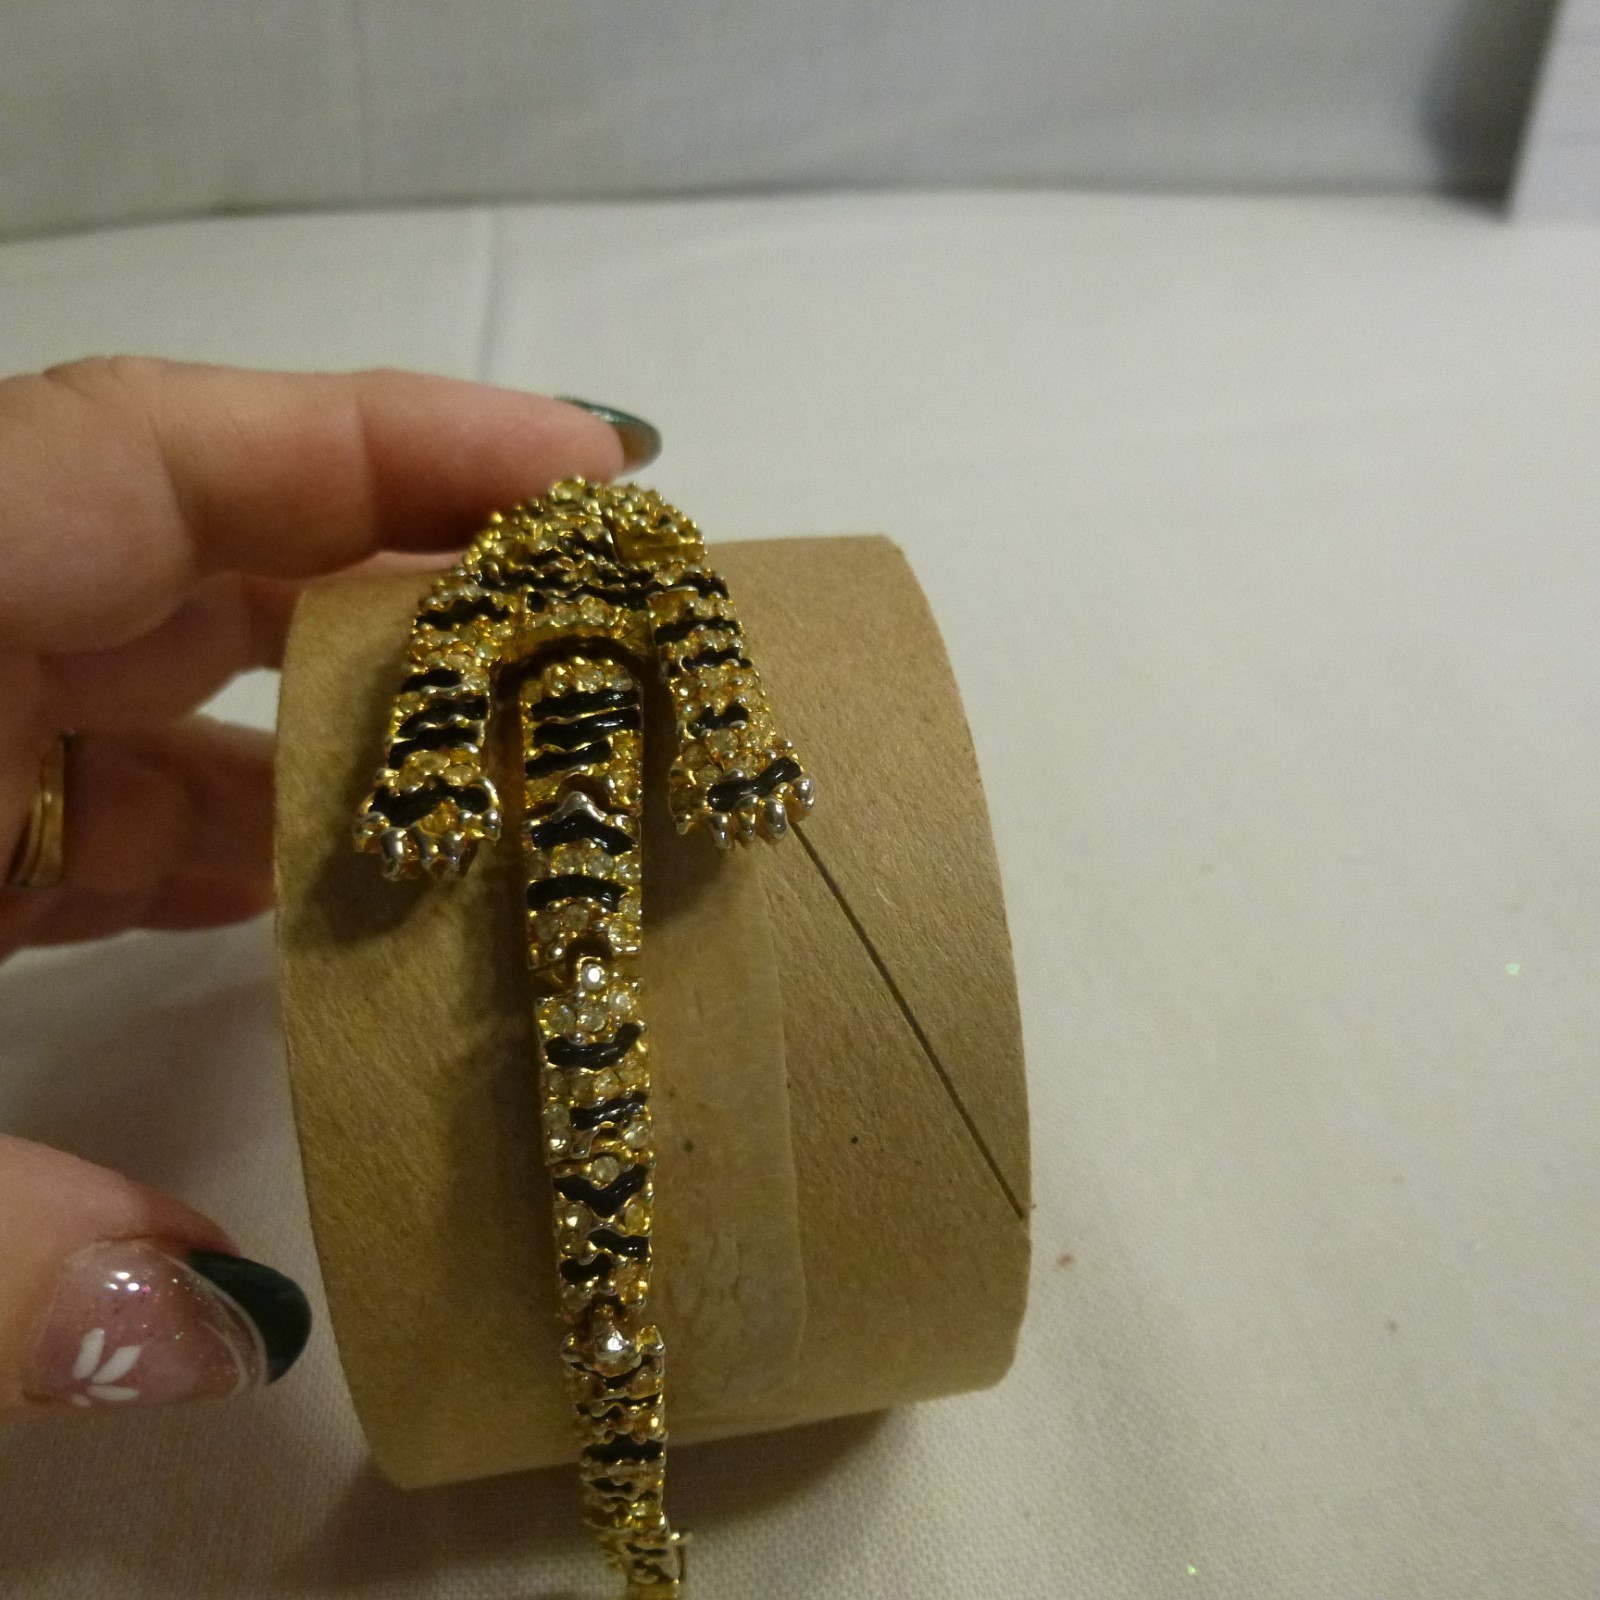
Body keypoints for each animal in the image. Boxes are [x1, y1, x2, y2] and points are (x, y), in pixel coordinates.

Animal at [353, 479, 812, 1598]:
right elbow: (443, 663)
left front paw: (744, 776)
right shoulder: (473, 602)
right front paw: (424, 802)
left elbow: (706, 634)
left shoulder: (667, 571)